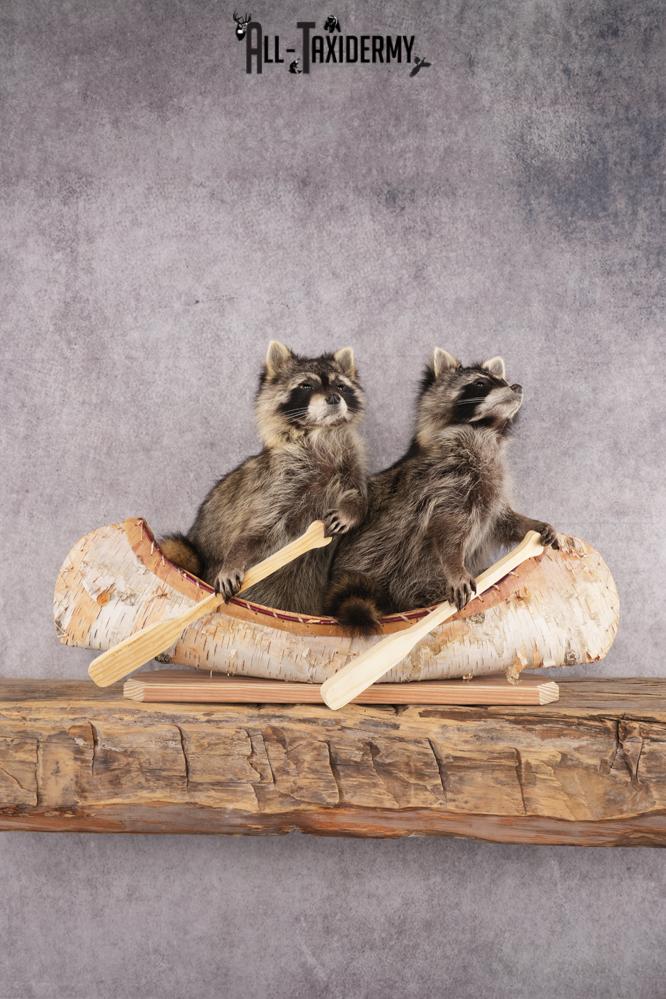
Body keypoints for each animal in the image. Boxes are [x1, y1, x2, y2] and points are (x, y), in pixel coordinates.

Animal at [159, 341, 367, 615]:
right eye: (306, 385)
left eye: (340, 385)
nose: (334, 397)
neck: (320, 432)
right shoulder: (278, 481)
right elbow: (256, 529)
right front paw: (234, 560)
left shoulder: (351, 465)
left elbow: (360, 496)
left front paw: (351, 510)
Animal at [325, 348, 557, 634]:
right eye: (480, 383)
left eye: (503, 380)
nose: (517, 387)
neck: (482, 431)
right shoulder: (443, 481)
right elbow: (446, 530)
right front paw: (455, 566)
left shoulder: (493, 485)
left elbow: (502, 519)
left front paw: (531, 524)